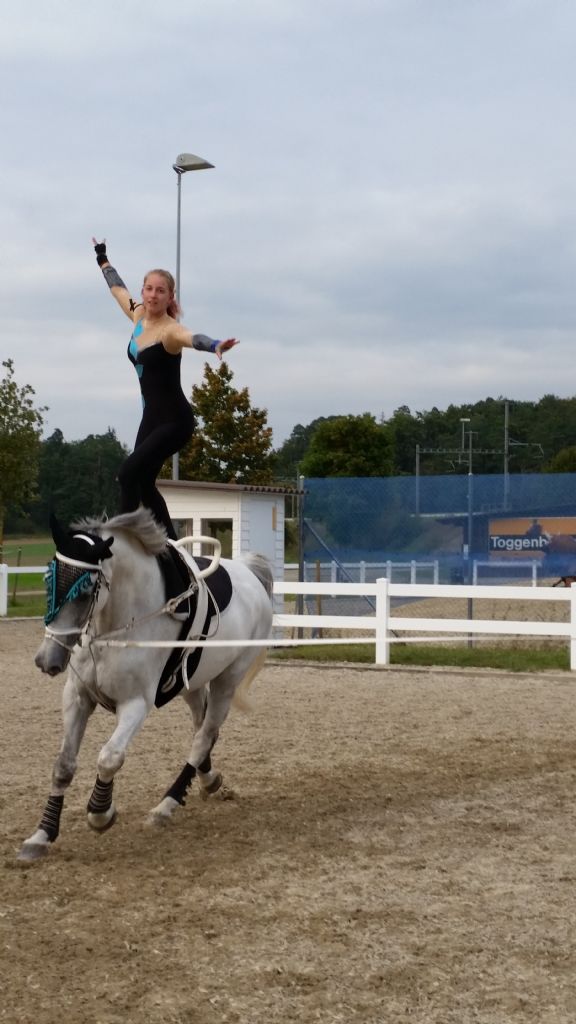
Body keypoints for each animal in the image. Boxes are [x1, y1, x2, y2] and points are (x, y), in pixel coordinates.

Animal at [20, 507, 272, 860]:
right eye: (48, 581)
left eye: (84, 592)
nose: (48, 659)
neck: (114, 629)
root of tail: (249, 573)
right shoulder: (77, 697)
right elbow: (63, 765)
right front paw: (42, 835)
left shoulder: (136, 704)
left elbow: (109, 758)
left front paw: (101, 813)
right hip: (192, 684)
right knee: (202, 727)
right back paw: (208, 781)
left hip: (228, 679)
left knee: (203, 737)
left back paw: (166, 806)